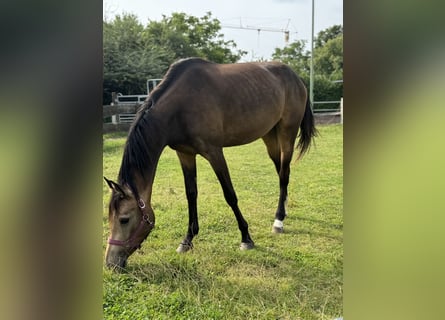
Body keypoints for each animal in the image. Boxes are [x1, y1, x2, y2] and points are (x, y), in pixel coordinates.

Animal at [104, 57, 316, 268]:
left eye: (124, 219)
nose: (111, 263)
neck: (180, 106)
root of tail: (295, 77)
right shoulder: (185, 154)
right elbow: (191, 194)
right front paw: (187, 240)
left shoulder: (214, 152)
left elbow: (230, 195)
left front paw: (246, 238)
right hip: (269, 136)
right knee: (281, 172)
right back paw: (283, 211)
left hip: (287, 133)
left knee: (284, 174)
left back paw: (279, 220)